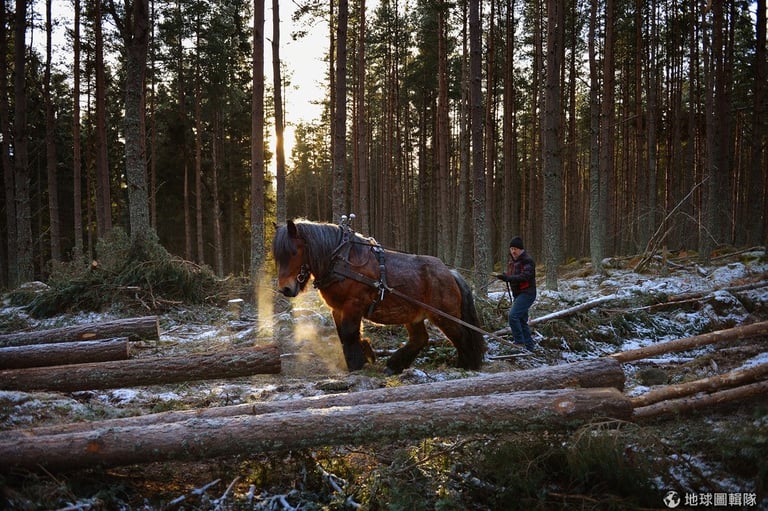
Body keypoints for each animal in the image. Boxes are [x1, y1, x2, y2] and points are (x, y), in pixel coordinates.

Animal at [272, 219, 486, 372]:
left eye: (293, 252)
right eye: (277, 256)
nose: (285, 289)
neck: (342, 261)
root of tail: (450, 273)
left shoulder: (354, 305)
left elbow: (349, 333)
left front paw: (358, 363)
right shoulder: (338, 309)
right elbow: (344, 334)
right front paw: (365, 353)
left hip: (444, 315)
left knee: (460, 335)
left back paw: (466, 364)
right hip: (414, 315)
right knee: (420, 338)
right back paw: (394, 365)